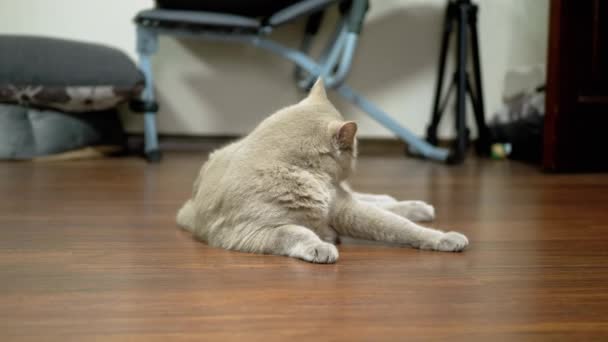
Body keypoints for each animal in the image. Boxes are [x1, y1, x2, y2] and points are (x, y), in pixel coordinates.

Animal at [177, 79, 470, 264]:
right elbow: (295, 231)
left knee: (379, 201)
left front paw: (443, 236)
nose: (356, 159)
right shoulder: (248, 232)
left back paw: (419, 207)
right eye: (354, 148)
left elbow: (398, 226)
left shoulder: (345, 209)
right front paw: (319, 246)